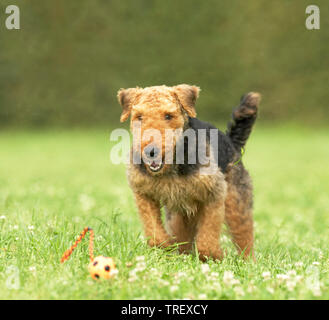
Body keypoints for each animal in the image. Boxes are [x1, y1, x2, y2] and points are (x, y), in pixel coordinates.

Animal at [116, 84, 260, 262]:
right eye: (139, 116)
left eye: (168, 115)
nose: (151, 151)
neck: (171, 169)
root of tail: (231, 142)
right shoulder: (144, 193)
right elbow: (155, 232)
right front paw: (168, 246)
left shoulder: (214, 193)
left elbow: (207, 239)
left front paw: (216, 256)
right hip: (179, 215)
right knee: (183, 237)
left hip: (236, 203)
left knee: (244, 235)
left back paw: (248, 261)